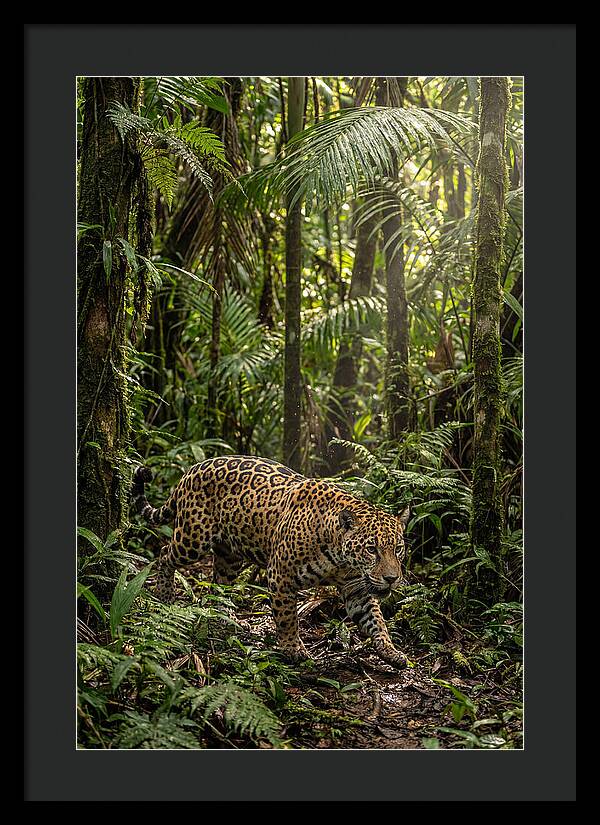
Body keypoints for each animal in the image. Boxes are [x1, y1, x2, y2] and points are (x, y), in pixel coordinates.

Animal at [131, 455, 410, 668]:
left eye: (397, 549)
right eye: (372, 549)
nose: (392, 579)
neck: (339, 557)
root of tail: (191, 469)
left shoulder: (356, 588)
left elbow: (375, 619)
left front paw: (391, 651)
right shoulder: (281, 577)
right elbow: (287, 617)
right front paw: (293, 650)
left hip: (229, 556)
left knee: (219, 583)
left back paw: (225, 616)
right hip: (192, 539)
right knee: (164, 553)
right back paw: (165, 594)